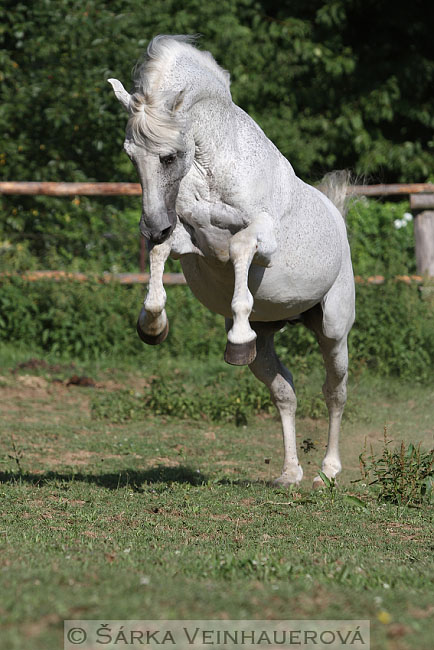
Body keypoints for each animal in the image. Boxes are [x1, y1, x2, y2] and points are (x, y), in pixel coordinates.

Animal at [107, 34, 352, 486]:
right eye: (131, 156)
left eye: (169, 156)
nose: (153, 225)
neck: (213, 167)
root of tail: (338, 219)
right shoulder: (192, 239)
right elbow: (162, 253)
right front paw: (152, 324)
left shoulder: (261, 239)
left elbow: (239, 248)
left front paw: (237, 338)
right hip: (269, 339)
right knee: (285, 392)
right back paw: (289, 473)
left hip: (333, 330)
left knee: (335, 392)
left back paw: (327, 472)